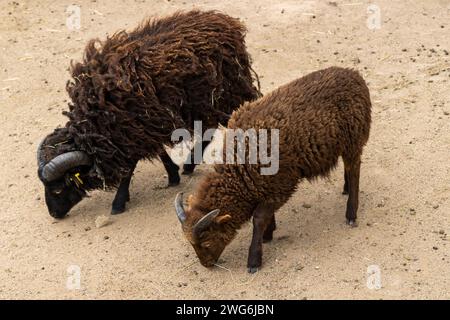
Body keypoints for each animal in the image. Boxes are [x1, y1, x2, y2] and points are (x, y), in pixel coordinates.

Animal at [38, 10, 260, 220]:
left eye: (57, 189)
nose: (54, 214)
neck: (94, 124)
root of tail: (228, 23)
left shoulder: (131, 130)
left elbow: (128, 169)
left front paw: (118, 203)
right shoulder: (146, 124)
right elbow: (159, 150)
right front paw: (173, 175)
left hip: (226, 92)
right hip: (207, 100)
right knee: (210, 127)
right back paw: (189, 164)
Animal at [176, 67, 372, 272]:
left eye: (206, 242)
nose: (206, 265)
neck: (240, 172)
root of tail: (354, 74)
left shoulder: (281, 186)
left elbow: (259, 218)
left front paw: (254, 258)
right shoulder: (267, 186)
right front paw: (269, 234)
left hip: (354, 139)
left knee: (354, 169)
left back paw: (351, 213)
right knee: (348, 169)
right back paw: (346, 188)